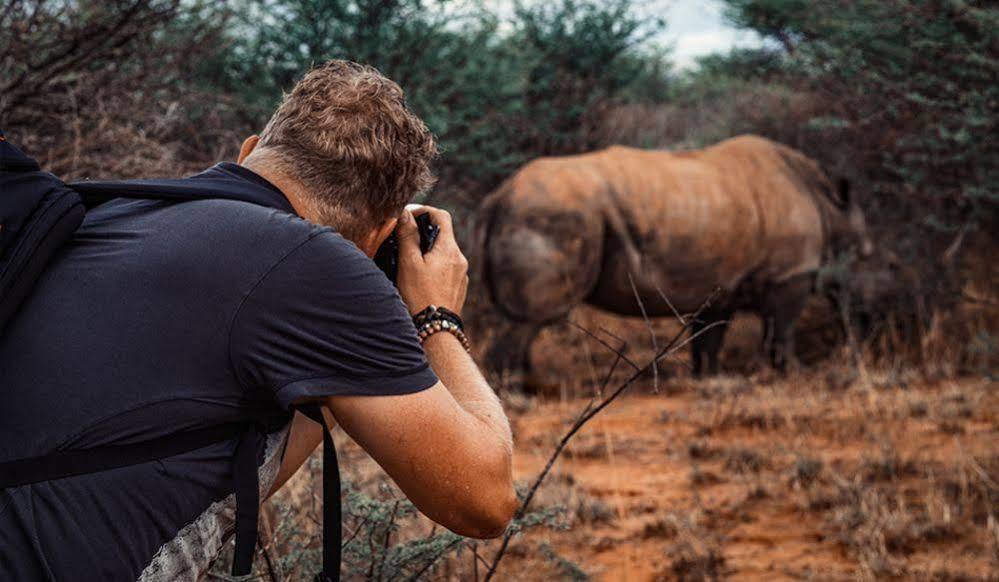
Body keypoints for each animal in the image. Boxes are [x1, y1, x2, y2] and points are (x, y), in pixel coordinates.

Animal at [476, 137, 876, 384]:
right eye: (862, 258)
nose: (866, 324)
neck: (829, 207)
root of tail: (497, 196)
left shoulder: (720, 282)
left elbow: (709, 336)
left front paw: (709, 378)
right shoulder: (791, 274)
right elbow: (783, 329)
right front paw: (792, 373)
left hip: (537, 211)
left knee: (524, 320)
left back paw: (529, 383)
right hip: (550, 214)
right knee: (534, 318)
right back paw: (519, 389)